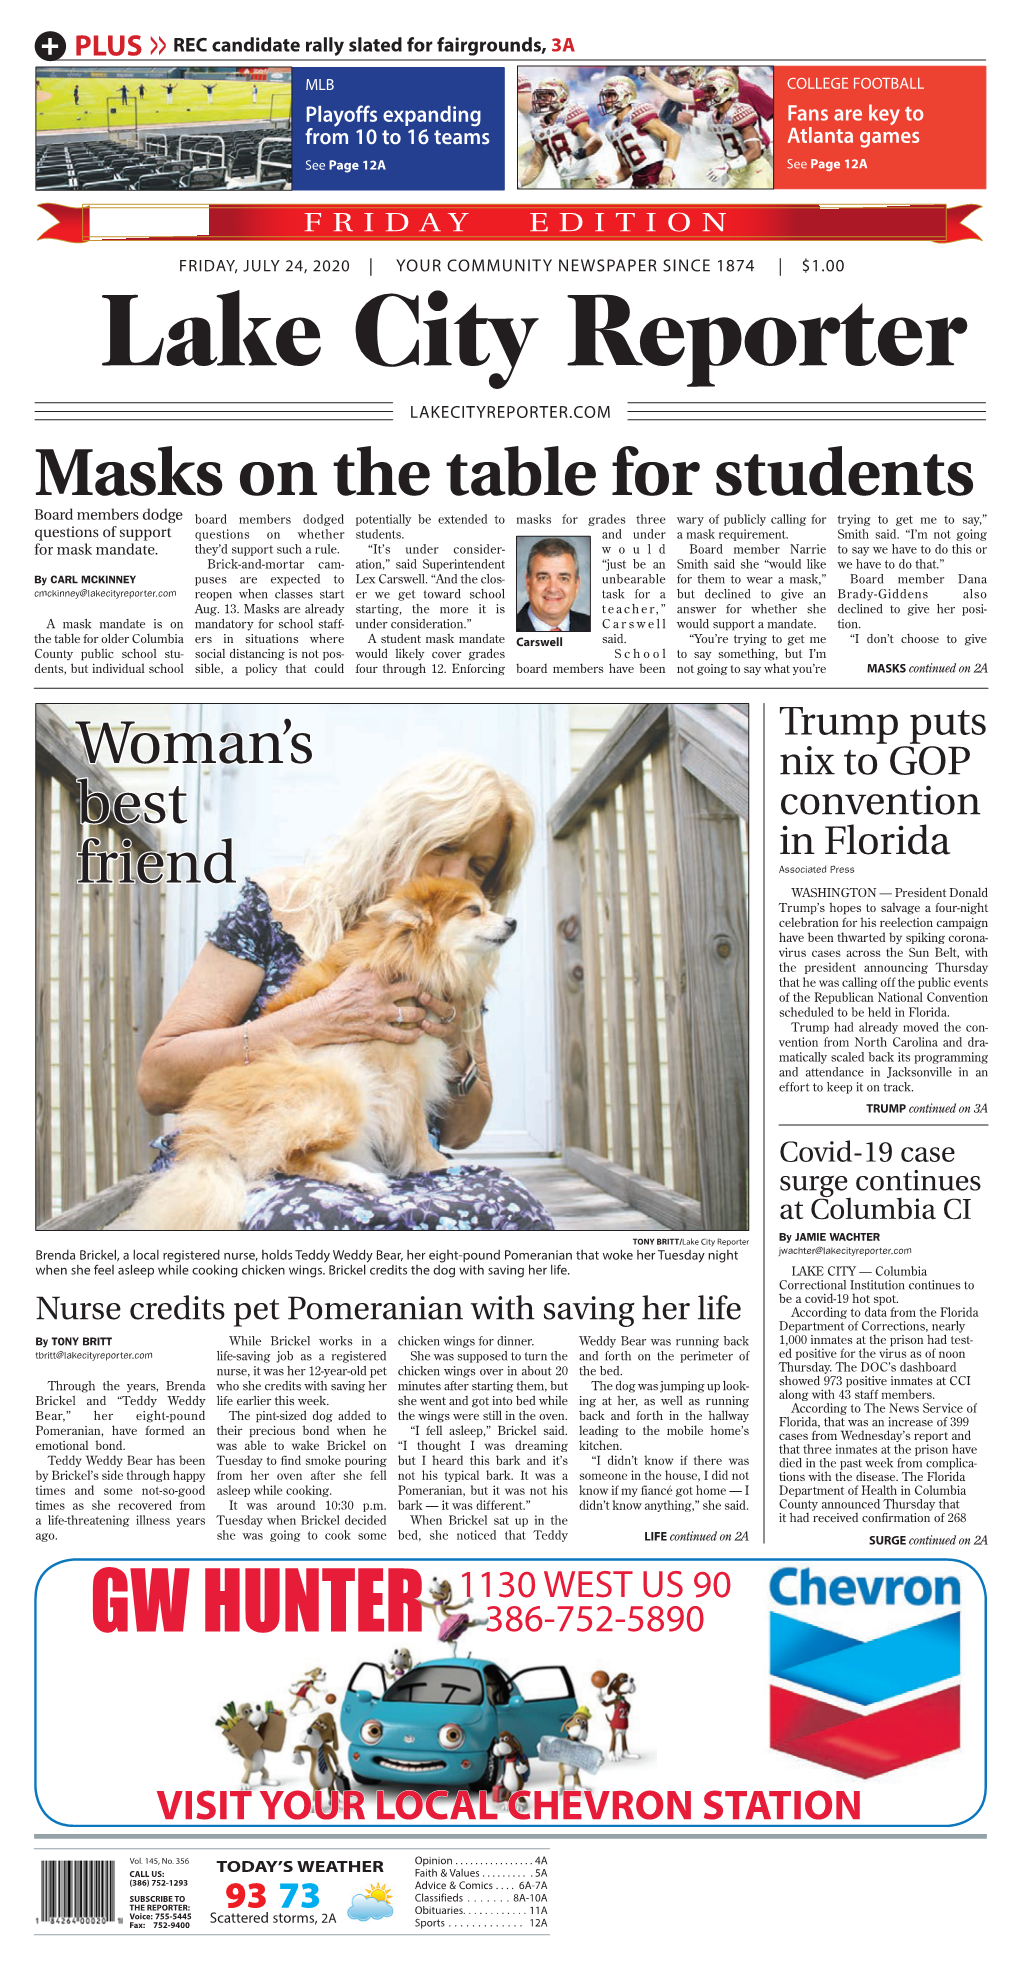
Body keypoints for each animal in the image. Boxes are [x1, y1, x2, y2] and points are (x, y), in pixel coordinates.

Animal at [121, 882, 517, 1231]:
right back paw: (359, 1177)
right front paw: (432, 1164)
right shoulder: (404, 1073)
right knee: (289, 1156)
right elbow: (416, 1127)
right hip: (343, 1084)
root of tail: (208, 1132)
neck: (408, 953)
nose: (512, 921)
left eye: (489, 906)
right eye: (474, 910)